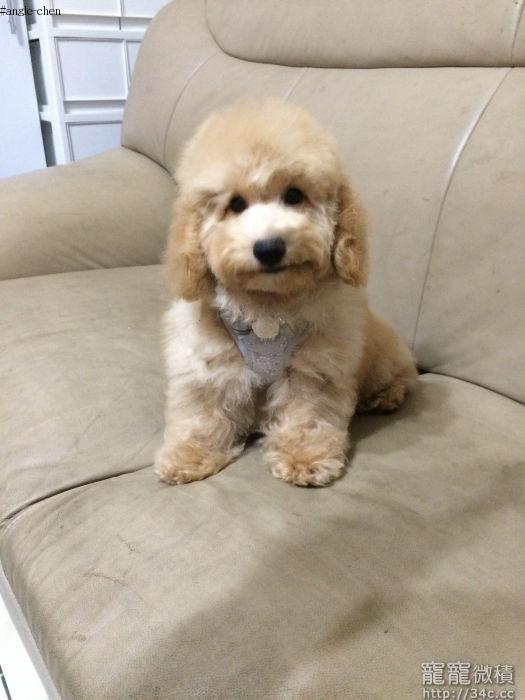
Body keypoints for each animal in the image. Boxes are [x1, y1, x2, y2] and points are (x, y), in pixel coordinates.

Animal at [154, 99, 417, 487]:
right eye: (236, 204)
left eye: (294, 195)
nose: (269, 248)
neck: (266, 305)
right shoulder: (206, 357)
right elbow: (202, 409)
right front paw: (190, 455)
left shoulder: (317, 365)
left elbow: (306, 413)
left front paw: (304, 457)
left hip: (382, 352)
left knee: (399, 374)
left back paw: (386, 396)